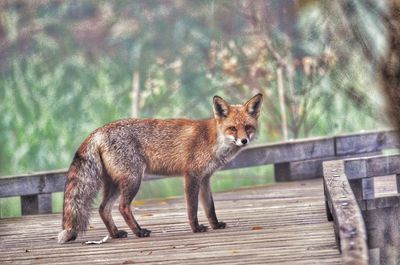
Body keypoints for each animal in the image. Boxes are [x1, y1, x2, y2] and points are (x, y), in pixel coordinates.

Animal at [56, 93, 262, 243]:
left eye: (248, 127)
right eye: (233, 128)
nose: (244, 140)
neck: (213, 140)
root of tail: (99, 130)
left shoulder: (205, 179)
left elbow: (209, 208)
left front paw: (215, 225)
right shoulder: (192, 175)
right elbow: (192, 208)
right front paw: (196, 228)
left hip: (115, 183)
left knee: (103, 209)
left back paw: (116, 234)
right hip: (133, 180)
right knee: (123, 207)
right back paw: (139, 231)